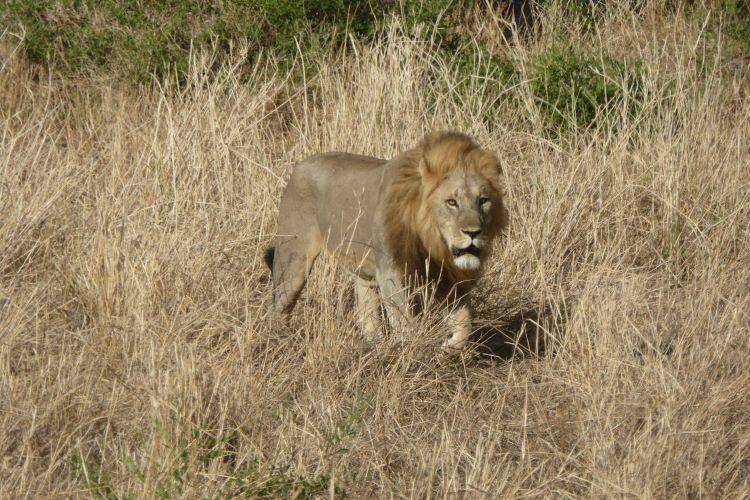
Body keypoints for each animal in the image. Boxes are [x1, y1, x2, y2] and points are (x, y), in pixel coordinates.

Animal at [264, 131, 508, 350]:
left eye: (483, 200)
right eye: (451, 202)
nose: (474, 232)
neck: (431, 240)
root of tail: (300, 165)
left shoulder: (449, 276)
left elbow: (465, 321)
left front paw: (449, 347)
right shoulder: (392, 272)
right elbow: (405, 322)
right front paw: (413, 353)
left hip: (362, 269)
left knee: (366, 309)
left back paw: (375, 345)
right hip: (293, 259)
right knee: (280, 306)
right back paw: (280, 342)